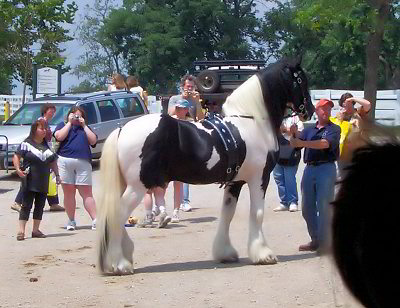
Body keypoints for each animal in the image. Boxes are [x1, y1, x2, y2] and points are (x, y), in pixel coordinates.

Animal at [97, 57, 316, 274]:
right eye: (301, 80)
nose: (310, 111)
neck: (251, 121)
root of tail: (122, 129)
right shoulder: (259, 178)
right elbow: (257, 214)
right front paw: (263, 254)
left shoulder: (235, 182)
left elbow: (227, 214)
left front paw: (225, 253)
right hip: (138, 187)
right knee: (117, 215)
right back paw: (119, 264)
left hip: (127, 185)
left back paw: (123, 255)